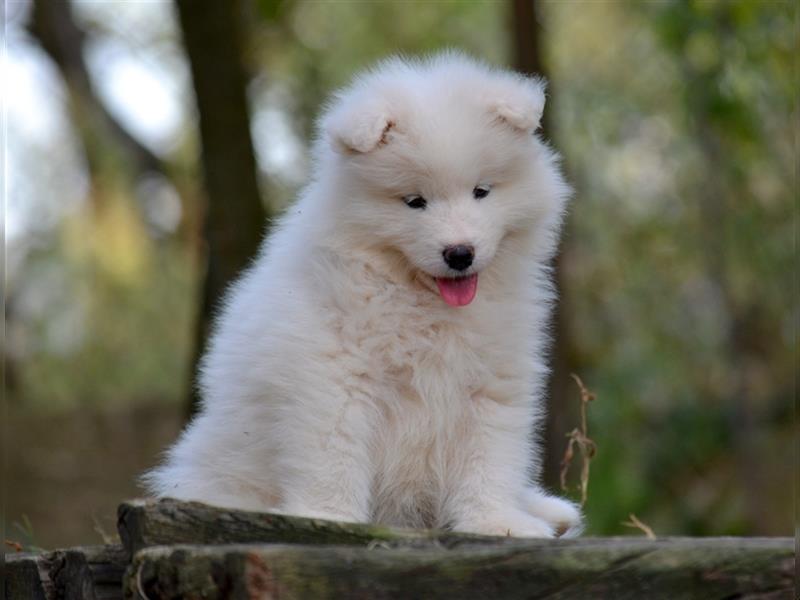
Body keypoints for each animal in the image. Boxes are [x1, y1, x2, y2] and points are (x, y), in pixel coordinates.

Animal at [145, 51, 580, 536]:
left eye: (481, 192)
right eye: (414, 202)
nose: (459, 254)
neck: (417, 300)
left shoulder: (491, 381)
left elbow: (489, 458)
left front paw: (496, 522)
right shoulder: (331, 376)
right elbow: (333, 454)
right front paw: (326, 517)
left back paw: (549, 512)